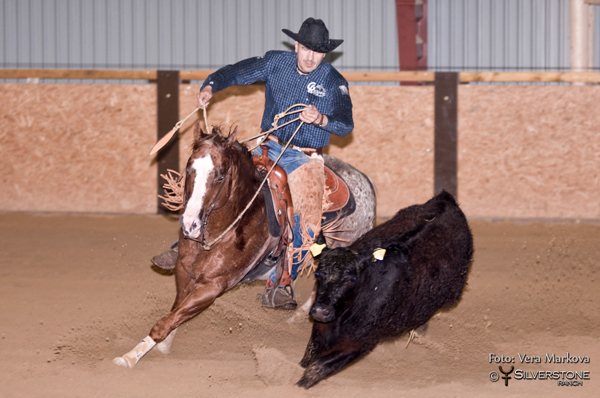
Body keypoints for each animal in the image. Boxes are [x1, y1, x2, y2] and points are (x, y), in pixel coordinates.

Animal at [113, 127, 376, 366]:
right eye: (189, 169)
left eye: (220, 176)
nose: (190, 225)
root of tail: (365, 180)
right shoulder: (184, 271)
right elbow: (174, 312)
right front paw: (159, 345)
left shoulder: (214, 286)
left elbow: (166, 321)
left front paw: (130, 357)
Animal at [298, 190, 472, 388]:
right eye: (318, 274)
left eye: (351, 279)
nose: (320, 311)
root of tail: (445, 199)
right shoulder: (320, 330)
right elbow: (307, 360)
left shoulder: (360, 342)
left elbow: (315, 370)